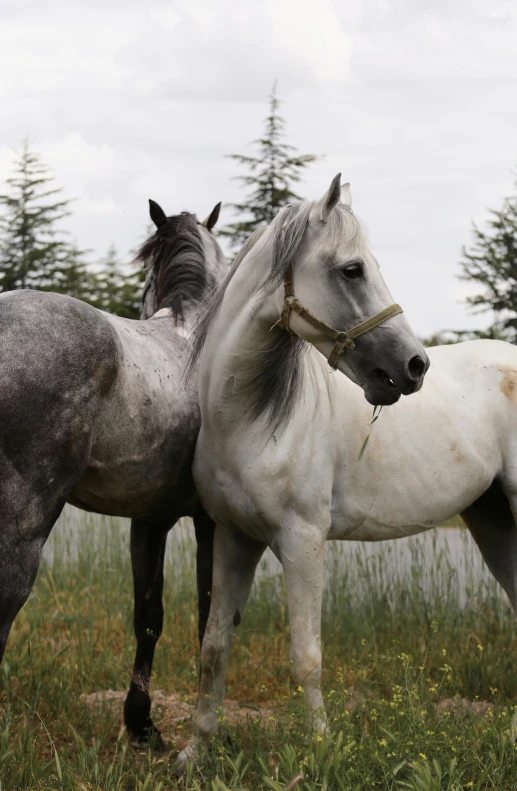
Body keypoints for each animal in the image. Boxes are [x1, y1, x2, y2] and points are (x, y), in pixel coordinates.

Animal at [176, 176, 516, 772]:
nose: (414, 366)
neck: (251, 419)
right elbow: (214, 646)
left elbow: (306, 655)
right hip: (495, 522)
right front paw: (197, 750)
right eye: (353, 269)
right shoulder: (234, 538)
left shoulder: (303, 540)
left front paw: (320, 750)